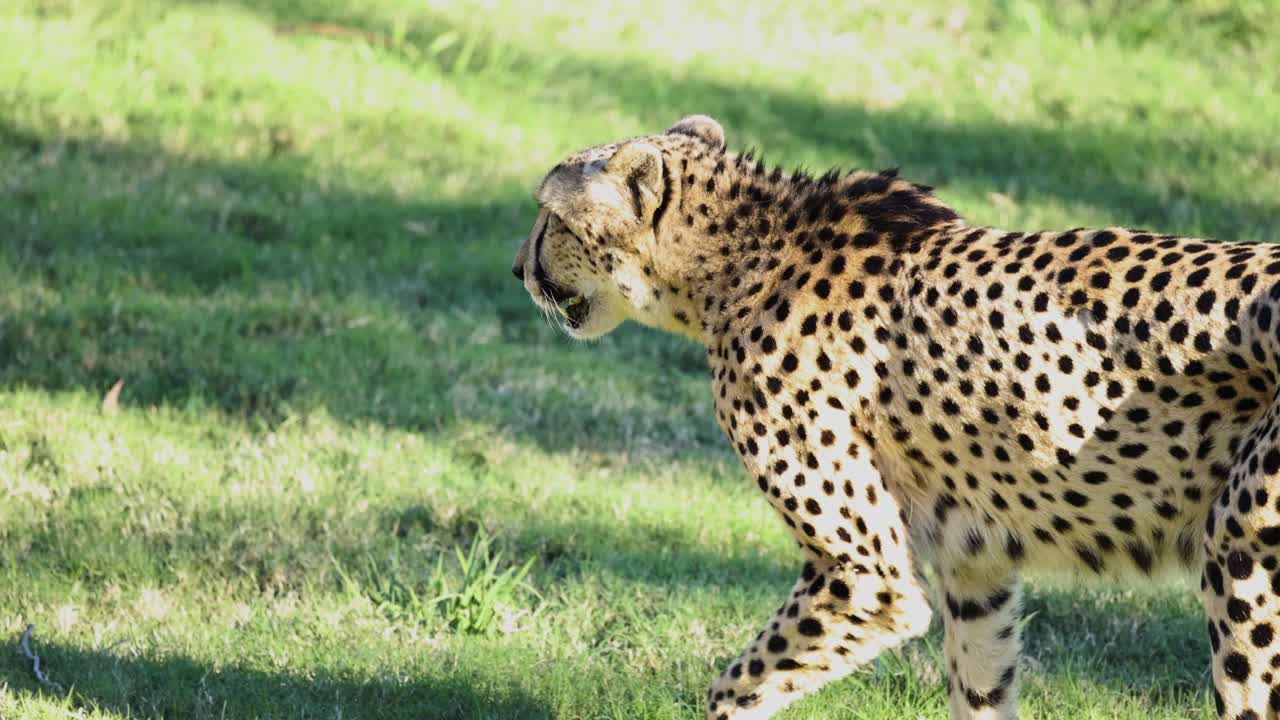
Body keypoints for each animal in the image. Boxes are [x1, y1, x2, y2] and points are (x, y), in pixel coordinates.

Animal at [511, 114, 1280, 719]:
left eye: (550, 217)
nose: (518, 267)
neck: (741, 253)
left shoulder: (865, 578)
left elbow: (737, 688)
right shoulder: (976, 560)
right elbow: (980, 687)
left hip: (1241, 541)